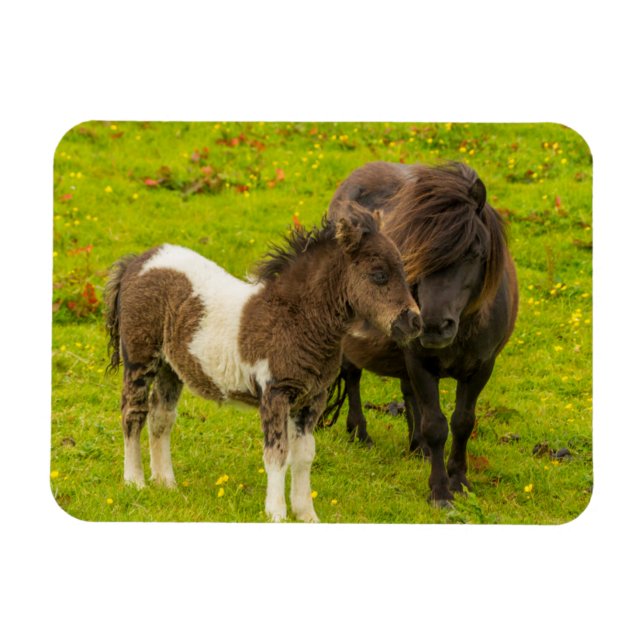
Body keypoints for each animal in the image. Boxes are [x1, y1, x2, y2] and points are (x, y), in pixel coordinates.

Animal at [104, 202, 421, 522]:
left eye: (402, 270)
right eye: (379, 274)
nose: (414, 322)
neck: (296, 319)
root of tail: (136, 262)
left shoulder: (312, 398)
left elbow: (304, 455)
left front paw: (306, 513)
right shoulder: (275, 393)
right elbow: (277, 453)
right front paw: (276, 513)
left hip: (170, 368)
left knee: (161, 417)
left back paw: (166, 483)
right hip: (140, 358)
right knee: (133, 413)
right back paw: (135, 481)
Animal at [326, 161, 519, 506]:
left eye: (475, 251)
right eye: (415, 252)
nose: (433, 325)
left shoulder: (481, 368)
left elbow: (462, 422)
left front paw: (460, 480)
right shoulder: (420, 362)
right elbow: (436, 425)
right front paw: (440, 490)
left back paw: (417, 447)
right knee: (352, 375)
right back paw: (360, 434)